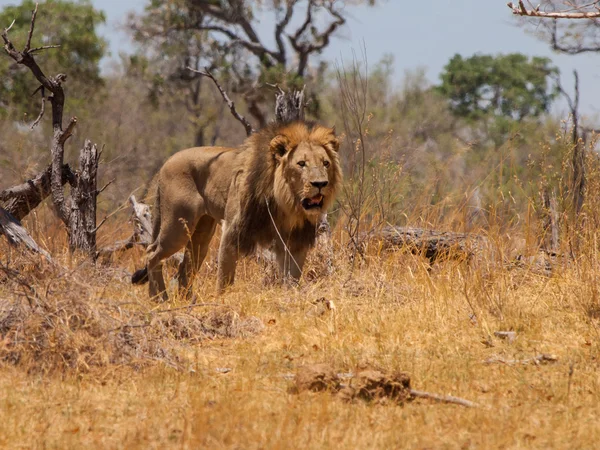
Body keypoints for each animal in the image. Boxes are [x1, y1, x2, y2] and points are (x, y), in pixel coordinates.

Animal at [132, 121, 340, 300]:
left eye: (325, 163)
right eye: (301, 164)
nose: (320, 184)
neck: (286, 204)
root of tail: (165, 163)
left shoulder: (296, 240)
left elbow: (291, 278)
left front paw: (290, 298)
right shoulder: (232, 232)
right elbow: (225, 278)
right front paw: (221, 302)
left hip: (201, 232)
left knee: (185, 268)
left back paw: (185, 302)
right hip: (177, 225)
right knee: (152, 253)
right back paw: (159, 299)